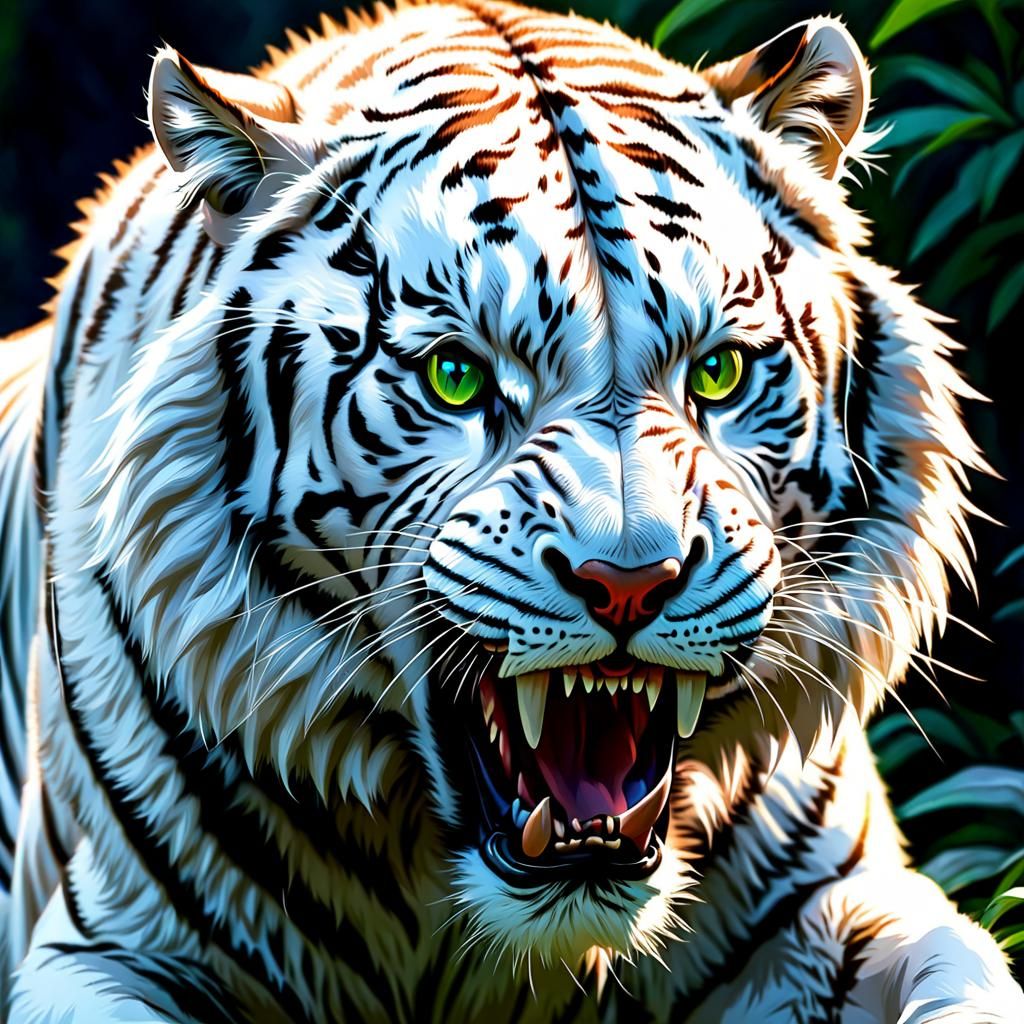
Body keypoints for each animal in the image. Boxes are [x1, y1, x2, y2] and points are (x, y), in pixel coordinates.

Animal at [0, 0, 1021, 1020]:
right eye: (455, 376)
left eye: (719, 373)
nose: (629, 584)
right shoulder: (110, 945)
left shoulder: (832, 901)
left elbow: (966, 967)